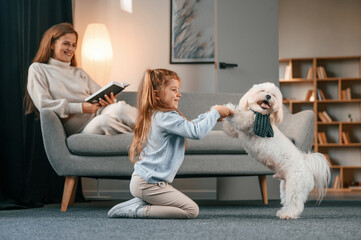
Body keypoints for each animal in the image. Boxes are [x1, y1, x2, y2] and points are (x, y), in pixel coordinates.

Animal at [224, 82, 330, 219]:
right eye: (262, 91)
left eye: (273, 95)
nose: (268, 96)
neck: (260, 114)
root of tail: (307, 166)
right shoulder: (238, 132)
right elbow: (231, 130)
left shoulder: (248, 122)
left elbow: (239, 118)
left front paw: (229, 108)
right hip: (285, 187)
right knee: (289, 201)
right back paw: (284, 211)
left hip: (295, 185)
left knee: (295, 203)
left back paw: (288, 214)